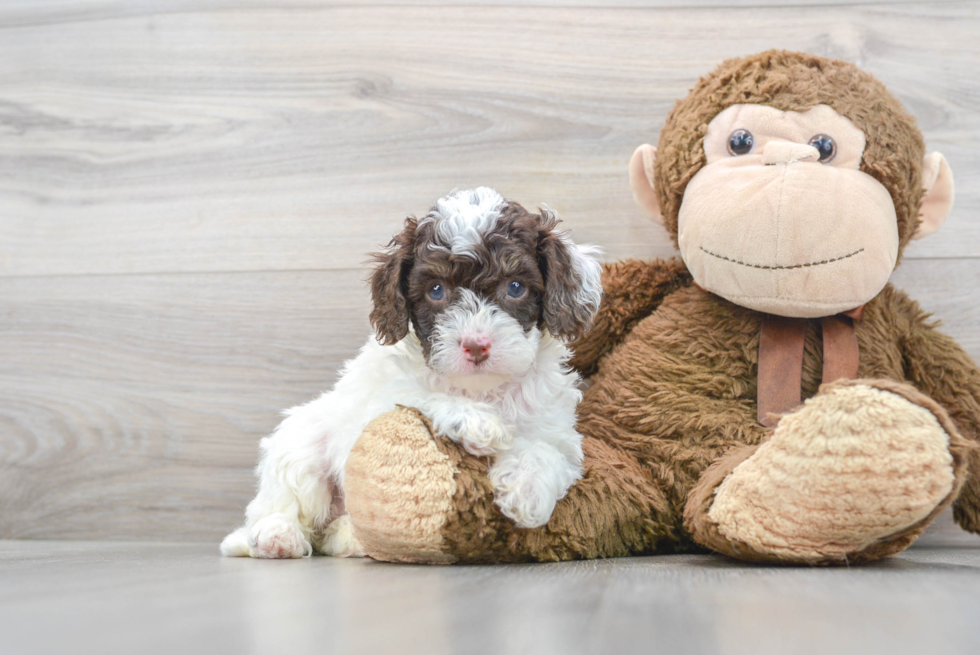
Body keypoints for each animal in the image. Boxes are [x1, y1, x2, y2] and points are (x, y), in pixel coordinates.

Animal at [222, 188, 600, 560]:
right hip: (300, 445)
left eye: (516, 287)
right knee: (281, 503)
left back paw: (348, 539)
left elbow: (547, 450)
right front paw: (479, 422)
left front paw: (526, 492)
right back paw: (276, 535)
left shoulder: (557, 428)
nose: (476, 345)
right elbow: (420, 394)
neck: (481, 390)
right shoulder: (379, 402)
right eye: (436, 291)